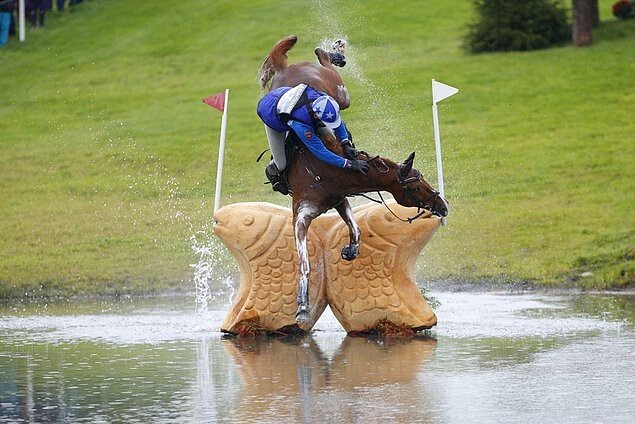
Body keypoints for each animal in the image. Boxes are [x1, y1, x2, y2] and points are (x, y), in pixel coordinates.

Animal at [258, 36, 448, 322]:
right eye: (415, 186)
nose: (443, 206)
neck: (326, 170)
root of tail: (286, 68)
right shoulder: (301, 215)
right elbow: (304, 262)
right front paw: (302, 306)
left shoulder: (340, 198)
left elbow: (356, 229)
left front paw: (351, 250)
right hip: (330, 96)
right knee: (322, 61)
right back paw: (333, 52)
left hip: (340, 95)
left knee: (323, 60)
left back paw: (335, 52)